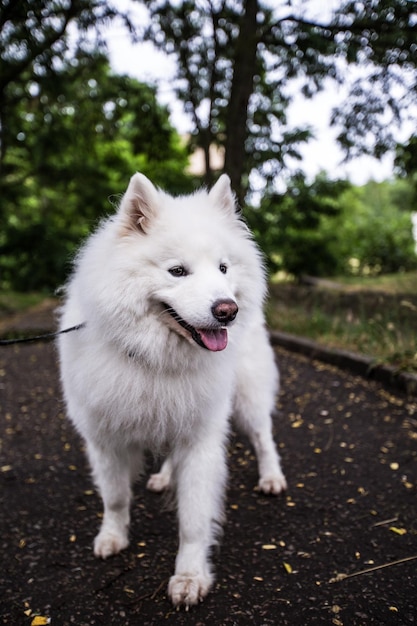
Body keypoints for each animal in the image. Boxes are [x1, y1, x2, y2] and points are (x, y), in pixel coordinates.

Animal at [57, 171, 286, 604]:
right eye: (177, 271)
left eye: (223, 268)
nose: (227, 310)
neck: (157, 358)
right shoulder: (105, 439)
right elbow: (115, 497)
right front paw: (112, 537)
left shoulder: (200, 439)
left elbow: (193, 519)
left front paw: (190, 577)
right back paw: (164, 477)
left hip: (247, 397)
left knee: (264, 437)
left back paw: (271, 478)